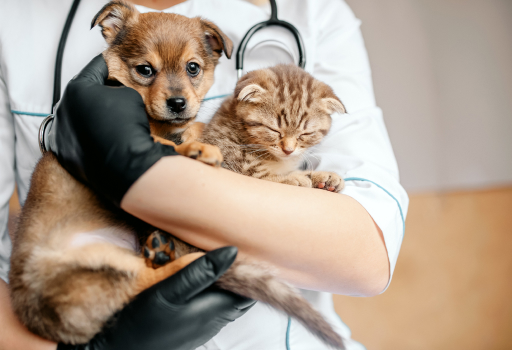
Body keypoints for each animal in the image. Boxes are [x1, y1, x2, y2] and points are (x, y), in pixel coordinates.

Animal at [202, 64, 346, 193]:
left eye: (305, 134)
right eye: (274, 130)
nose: (288, 150)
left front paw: (321, 177)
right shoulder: (230, 159)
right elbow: (262, 177)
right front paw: (295, 178)